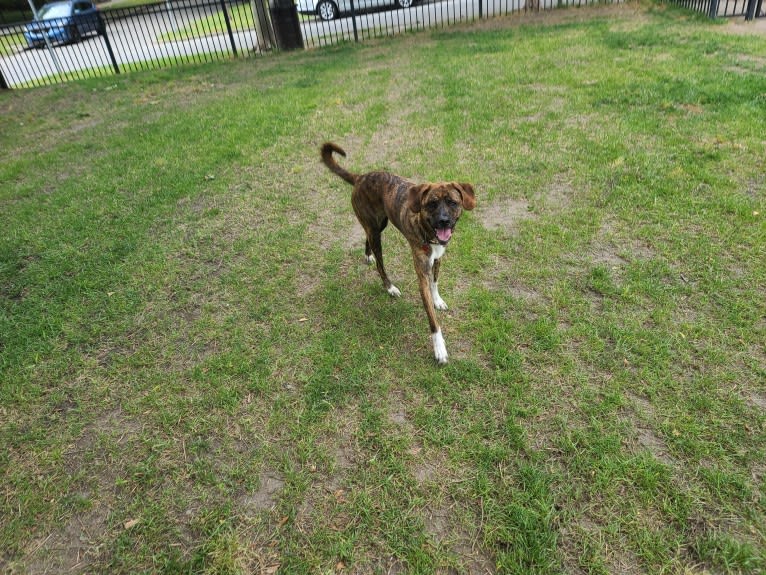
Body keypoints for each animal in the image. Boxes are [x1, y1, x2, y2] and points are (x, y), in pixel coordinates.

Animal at [320, 142, 476, 364]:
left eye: (453, 202)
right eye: (432, 204)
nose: (444, 221)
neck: (427, 231)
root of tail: (360, 177)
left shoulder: (437, 259)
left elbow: (435, 283)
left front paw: (437, 300)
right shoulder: (421, 274)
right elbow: (432, 319)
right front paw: (439, 348)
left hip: (379, 224)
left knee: (367, 236)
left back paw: (367, 255)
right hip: (376, 231)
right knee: (380, 263)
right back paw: (389, 287)